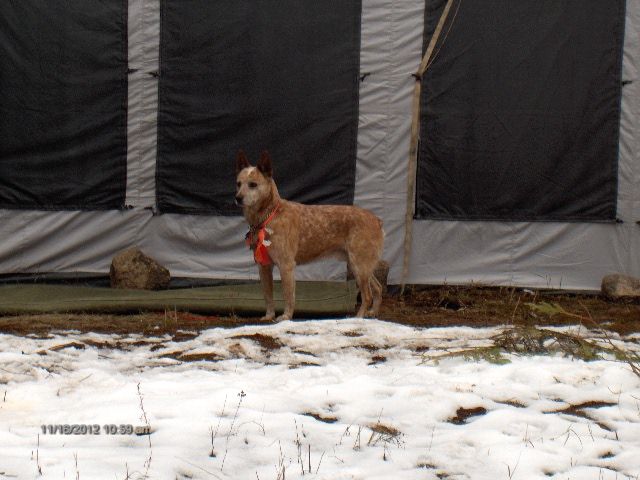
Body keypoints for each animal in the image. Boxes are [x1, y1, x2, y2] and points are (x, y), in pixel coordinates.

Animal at [235, 150, 384, 322]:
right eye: (238, 183)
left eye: (253, 184)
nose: (237, 198)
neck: (269, 216)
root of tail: (376, 220)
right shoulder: (263, 266)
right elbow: (268, 296)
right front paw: (269, 316)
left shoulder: (286, 265)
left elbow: (288, 295)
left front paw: (286, 317)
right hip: (360, 266)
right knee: (378, 288)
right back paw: (373, 313)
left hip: (359, 265)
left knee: (367, 295)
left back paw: (358, 318)